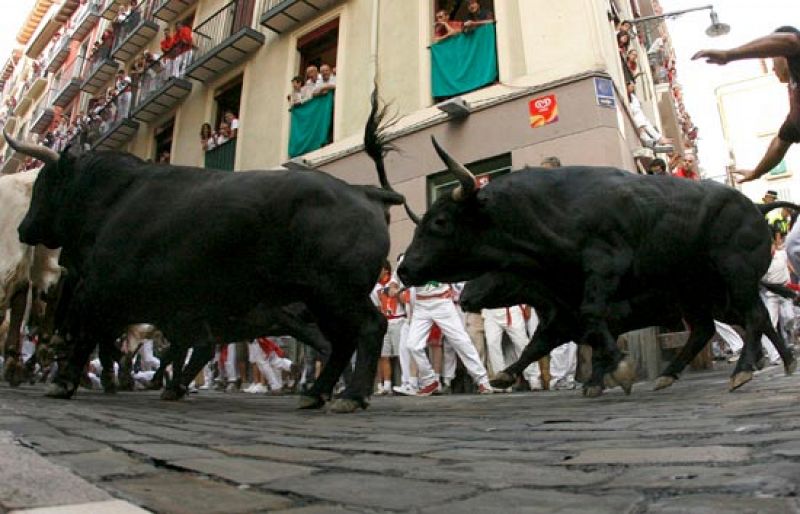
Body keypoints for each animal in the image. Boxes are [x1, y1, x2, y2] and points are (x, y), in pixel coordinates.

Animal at [5, 98, 404, 412]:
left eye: (43, 184)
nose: (22, 229)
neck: (116, 196)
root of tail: (366, 192)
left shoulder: (100, 291)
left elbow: (88, 336)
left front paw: (65, 382)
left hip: (337, 294)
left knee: (369, 329)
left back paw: (350, 396)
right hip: (322, 300)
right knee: (341, 342)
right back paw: (317, 394)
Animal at [404, 138, 796, 394]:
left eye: (439, 221)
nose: (405, 269)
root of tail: (756, 207)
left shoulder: (605, 267)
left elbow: (591, 319)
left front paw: (618, 370)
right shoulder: (563, 315)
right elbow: (542, 344)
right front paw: (506, 376)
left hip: (736, 277)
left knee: (754, 318)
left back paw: (745, 369)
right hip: (699, 296)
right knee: (712, 328)